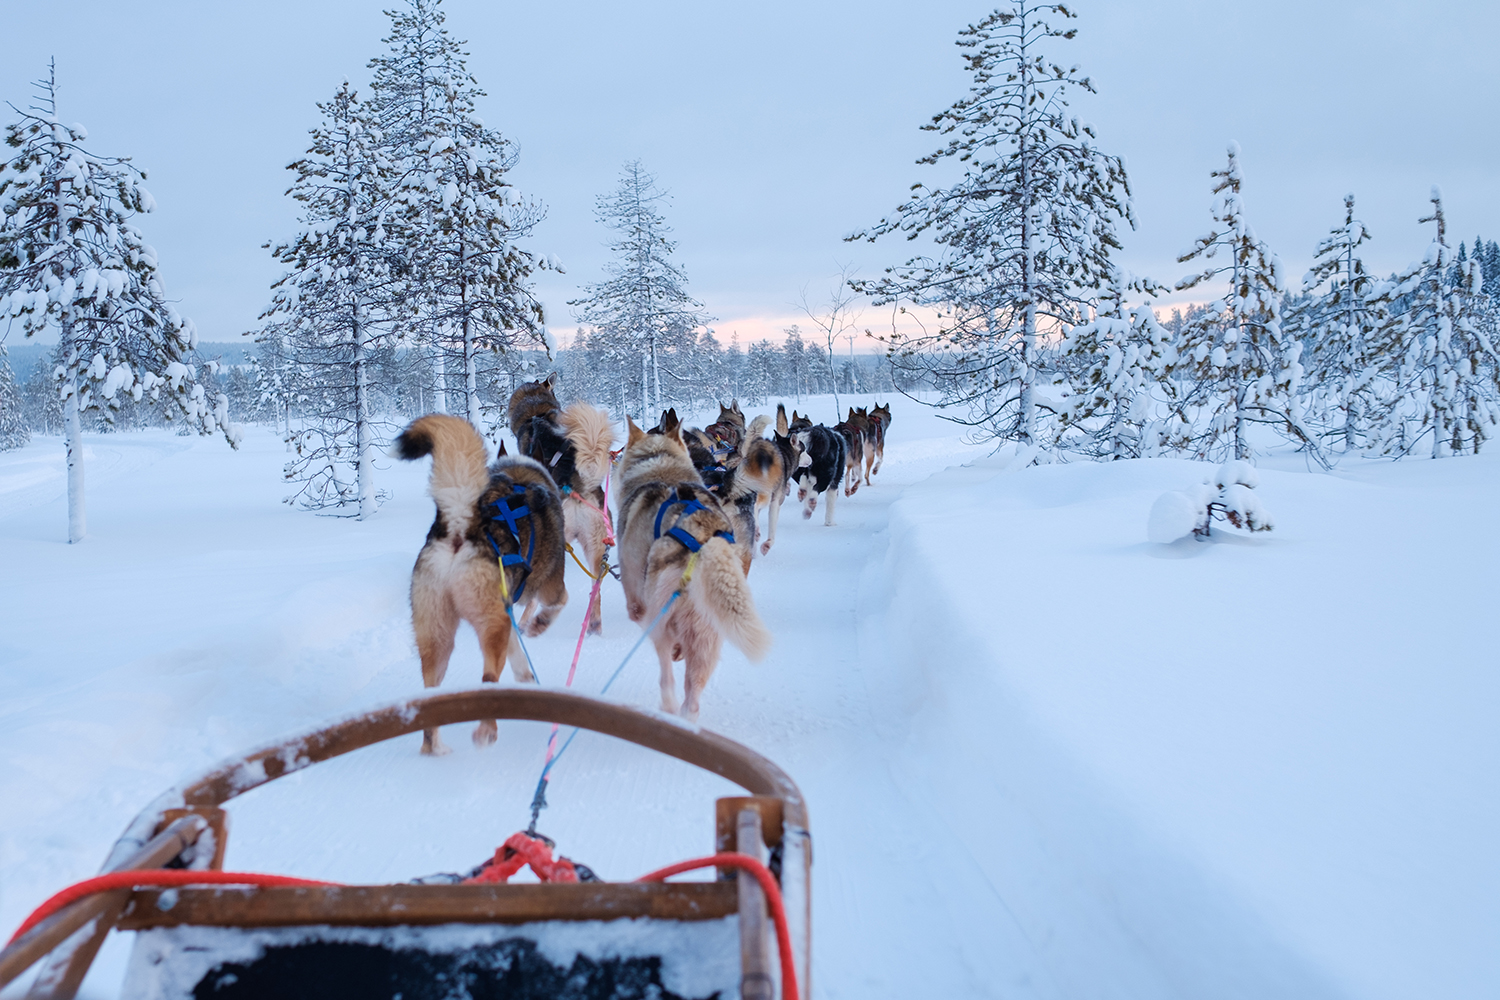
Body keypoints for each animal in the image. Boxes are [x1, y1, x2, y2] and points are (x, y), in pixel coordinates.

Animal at [393, 413, 567, 749]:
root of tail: (462, 526)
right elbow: (555, 606)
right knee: (488, 681)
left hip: (437, 637)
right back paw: (487, 730)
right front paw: (538, 626)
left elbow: (517, 649)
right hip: (490, 625)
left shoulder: (507, 608)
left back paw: (436, 749)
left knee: (430, 696)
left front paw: (525, 675)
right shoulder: (551, 588)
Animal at [507, 374, 612, 632]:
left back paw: (525, 623)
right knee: (596, 589)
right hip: (596, 548)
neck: (537, 413)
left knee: (539, 595)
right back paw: (593, 626)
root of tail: (576, 487)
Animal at [612, 410, 768, 722]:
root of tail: (702, 540)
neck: (661, 468)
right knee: (692, 697)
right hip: (710, 632)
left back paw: (668, 704)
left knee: (666, 672)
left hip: (659, 620)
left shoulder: (636, 597)